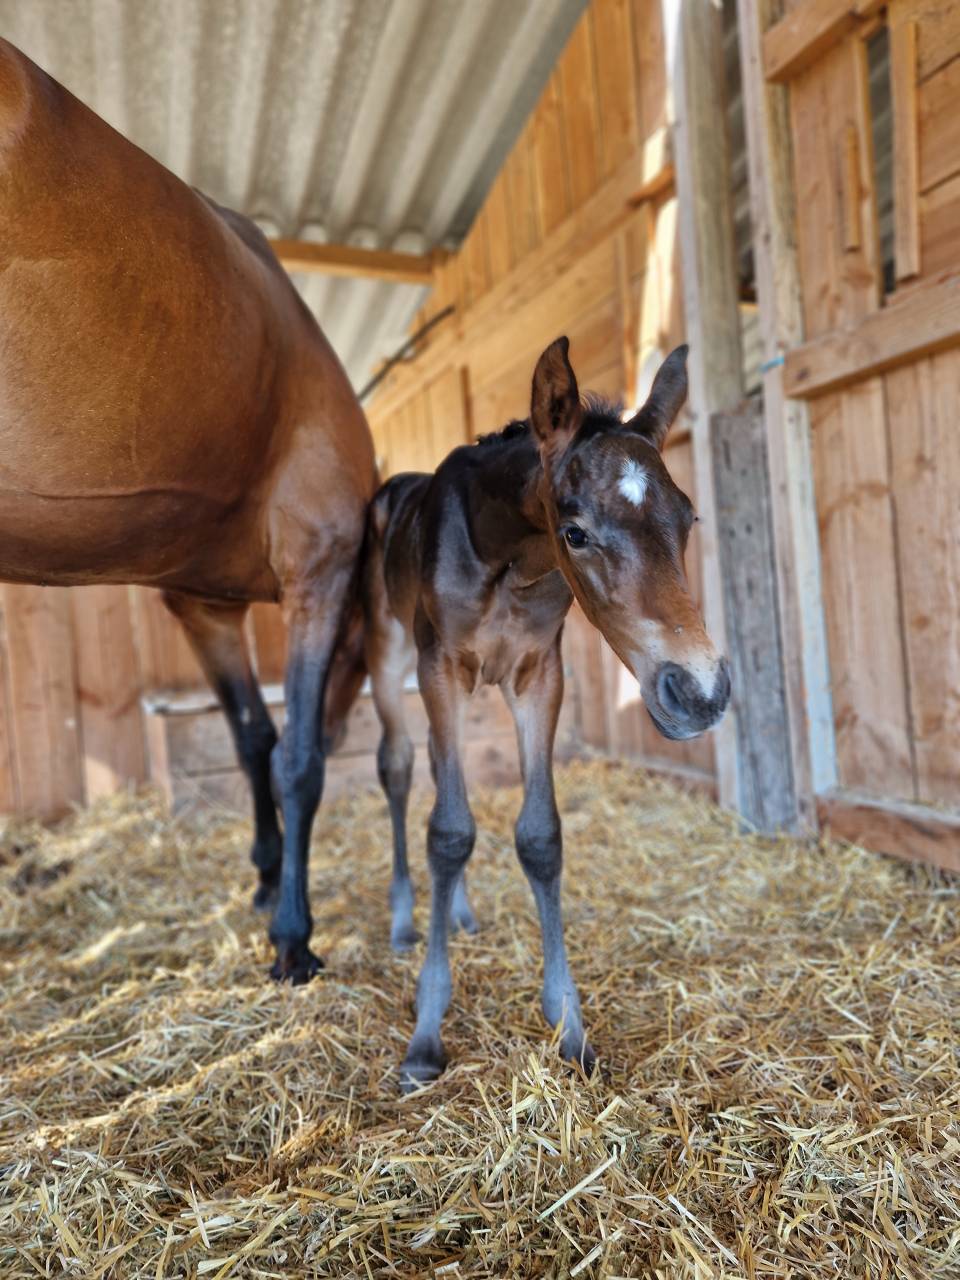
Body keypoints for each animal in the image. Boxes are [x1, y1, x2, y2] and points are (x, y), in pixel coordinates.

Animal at [0, 39, 374, 984]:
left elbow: (253, 744)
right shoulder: (320, 562)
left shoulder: (203, 606)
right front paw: (293, 937)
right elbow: (297, 759)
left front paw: (267, 884)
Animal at [363, 337, 731, 1089]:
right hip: (391, 657)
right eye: (575, 531)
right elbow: (448, 830)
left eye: (688, 519)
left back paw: (461, 911)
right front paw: (425, 1035)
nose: (700, 692)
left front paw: (570, 1028)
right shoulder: (440, 666)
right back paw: (405, 919)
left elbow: (538, 836)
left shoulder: (539, 673)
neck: (505, 552)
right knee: (400, 766)